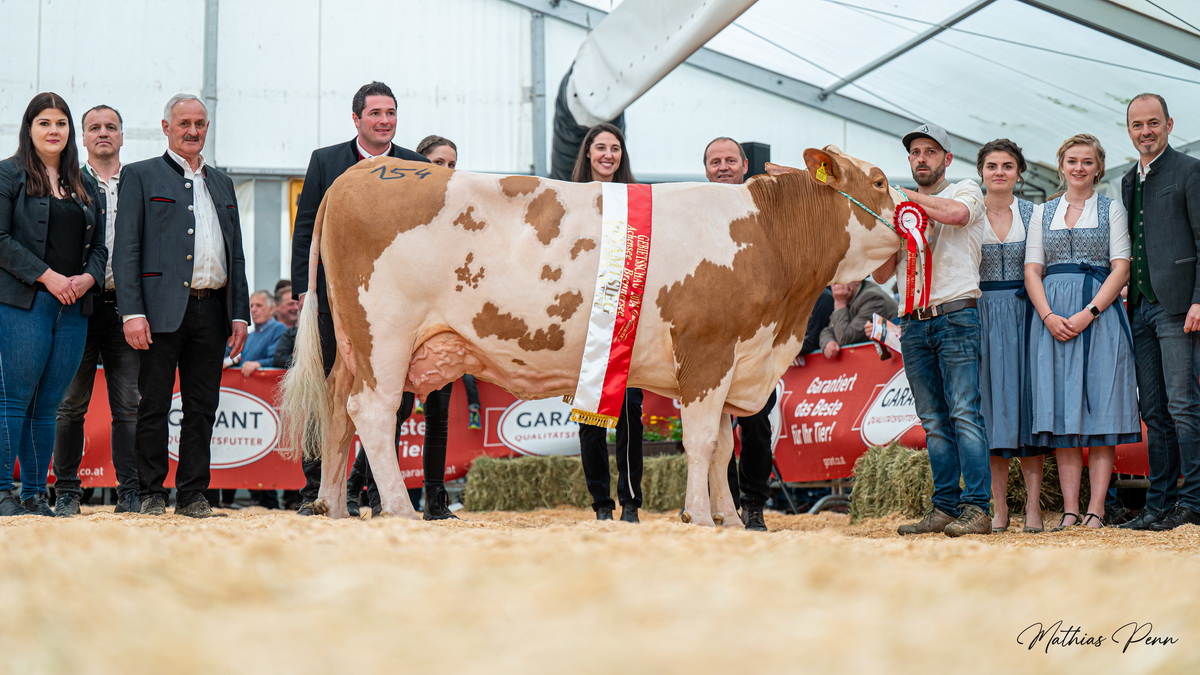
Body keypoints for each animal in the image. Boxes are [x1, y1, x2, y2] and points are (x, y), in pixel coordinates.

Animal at [280, 145, 902, 526]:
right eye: (877, 181)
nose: (912, 218)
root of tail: (364, 171)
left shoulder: (735, 362)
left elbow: (725, 447)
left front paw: (727, 517)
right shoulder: (708, 352)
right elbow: (704, 443)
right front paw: (701, 516)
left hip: (355, 345)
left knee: (337, 413)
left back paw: (334, 508)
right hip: (385, 334)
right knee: (372, 412)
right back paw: (402, 512)